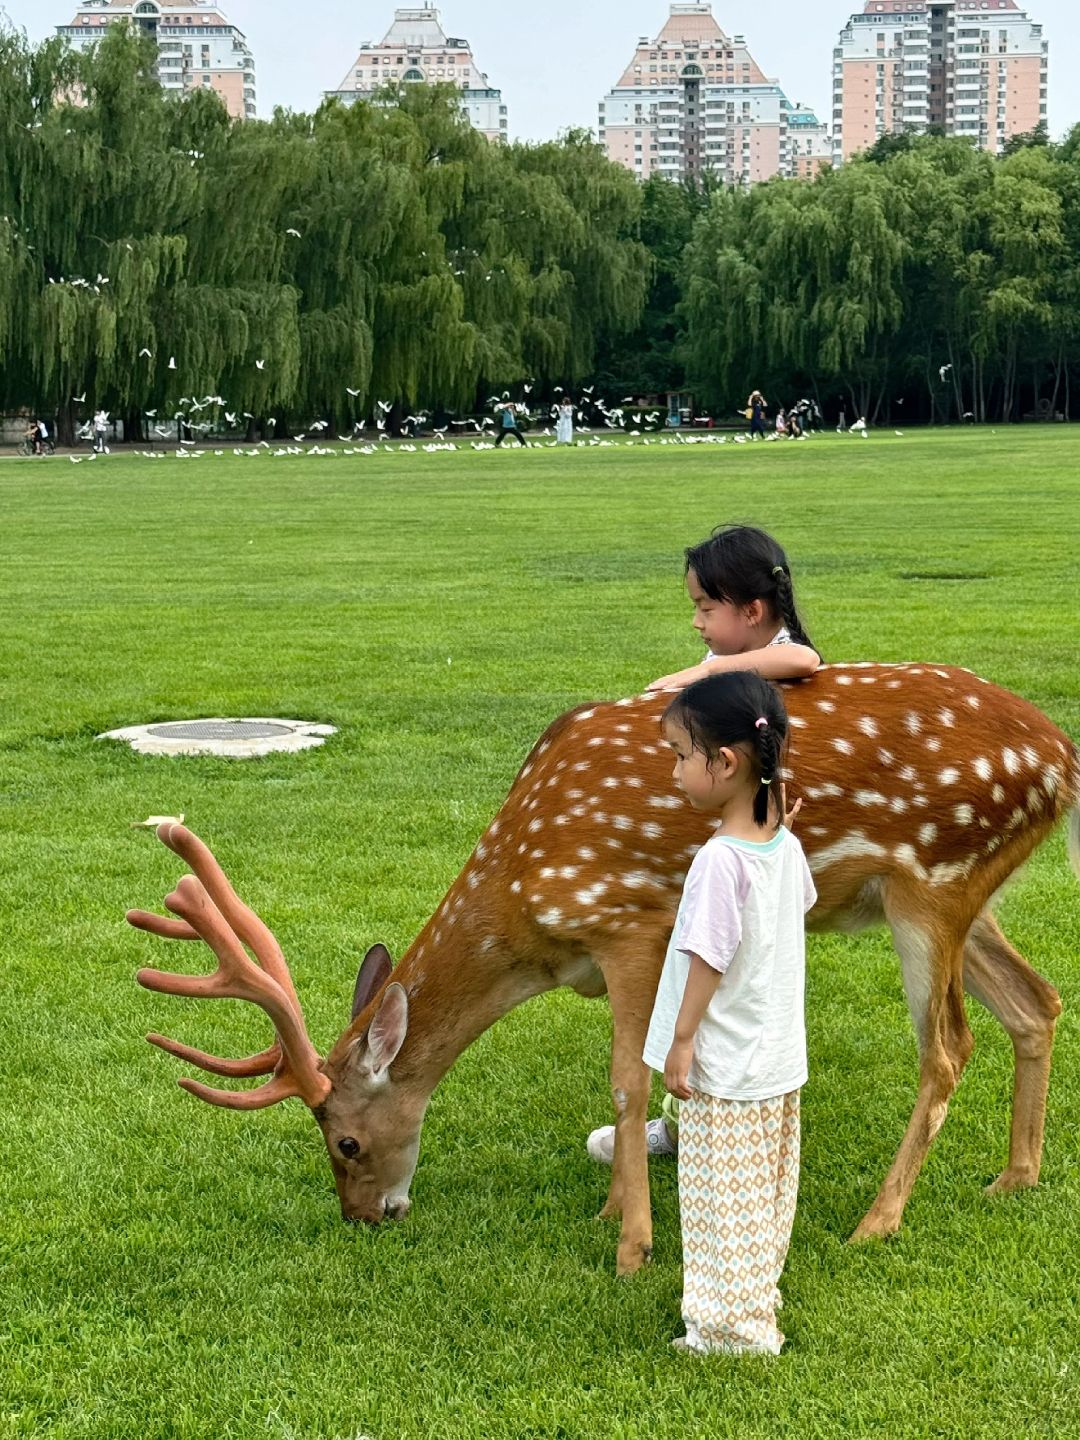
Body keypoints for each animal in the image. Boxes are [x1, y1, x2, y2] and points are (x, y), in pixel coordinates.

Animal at [131, 662, 1077, 1272]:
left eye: (347, 1141)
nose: (366, 1218)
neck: (527, 918)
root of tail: (1063, 764)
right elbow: (636, 1077)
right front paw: (615, 1208)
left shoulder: (630, 924)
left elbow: (628, 1080)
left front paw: (632, 1246)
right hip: (959, 891)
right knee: (1037, 1000)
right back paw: (1014, 1177)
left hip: (934, 880)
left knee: (948, 1047)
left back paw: (876, 1223)